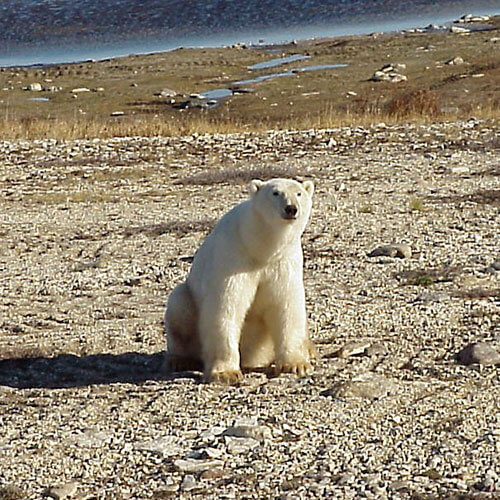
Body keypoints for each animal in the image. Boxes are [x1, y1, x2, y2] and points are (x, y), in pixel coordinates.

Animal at [166, 178, 314, 384]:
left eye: (299, 193)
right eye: (275, 193)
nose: (291, 208)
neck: (260, 248)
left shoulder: (283, 262)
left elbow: (286, 306)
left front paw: (296, 365)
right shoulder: (233, 257)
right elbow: (226, 306)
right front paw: (225, 373)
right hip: (186, 303)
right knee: (179, 306)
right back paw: (179, 360)